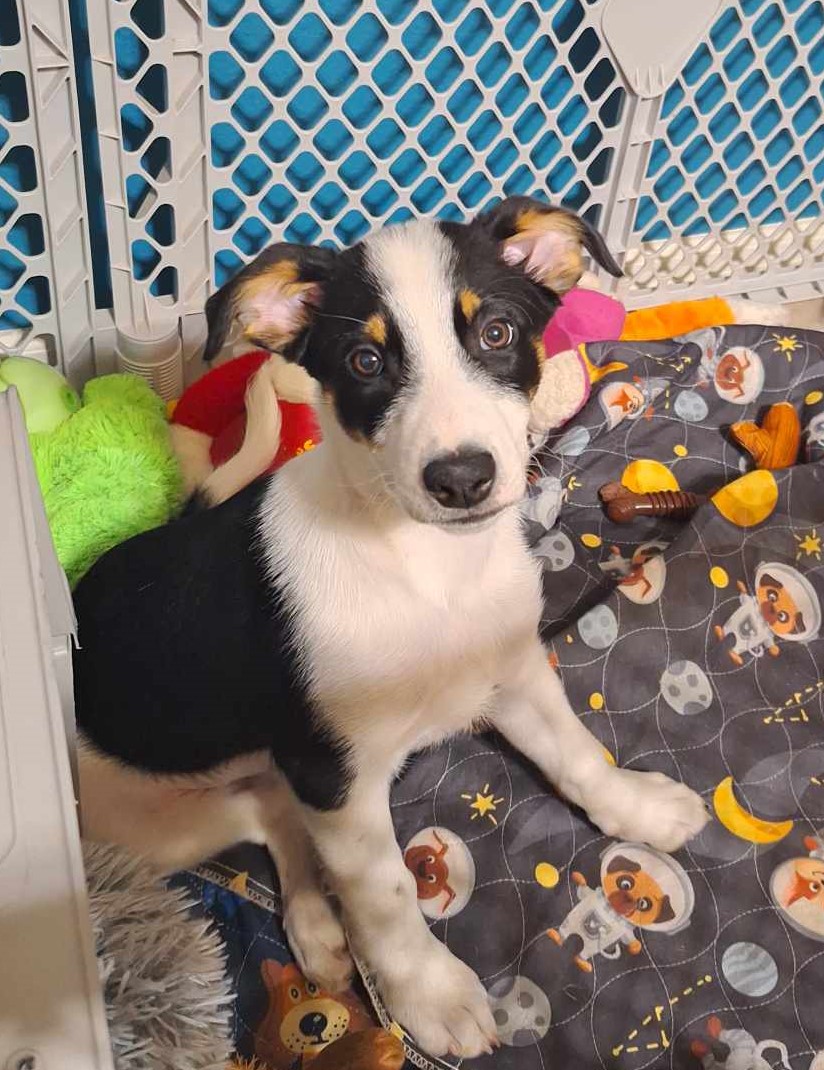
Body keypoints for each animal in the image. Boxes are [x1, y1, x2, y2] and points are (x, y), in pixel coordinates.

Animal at [73, 201, 706, 1061]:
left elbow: (577, 753)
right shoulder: (336, 777)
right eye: (366, 360)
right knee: (270, 814)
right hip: (155, 829)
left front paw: (636, 807)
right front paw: (428, 991)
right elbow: (386, 891)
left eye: (497, 333)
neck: (429, 569)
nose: (462, 478)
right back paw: (316, 925)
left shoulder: (514, 673)